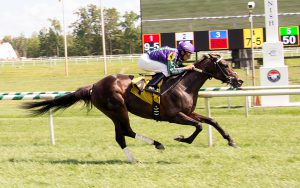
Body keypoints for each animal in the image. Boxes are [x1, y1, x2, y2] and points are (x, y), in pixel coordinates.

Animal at [22, 53, 244, 162]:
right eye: (225, 65)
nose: (239, 80)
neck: (183, 84)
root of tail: (94, 85)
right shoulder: (175, 116)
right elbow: (198, 127)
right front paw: (182, 139)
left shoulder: (188, 112)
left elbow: (211, 120)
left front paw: (231, 141)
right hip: (118, 108)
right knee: (126, 131)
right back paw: (154, 146)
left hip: (115, 112)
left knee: (121, 135)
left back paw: (135, 157)